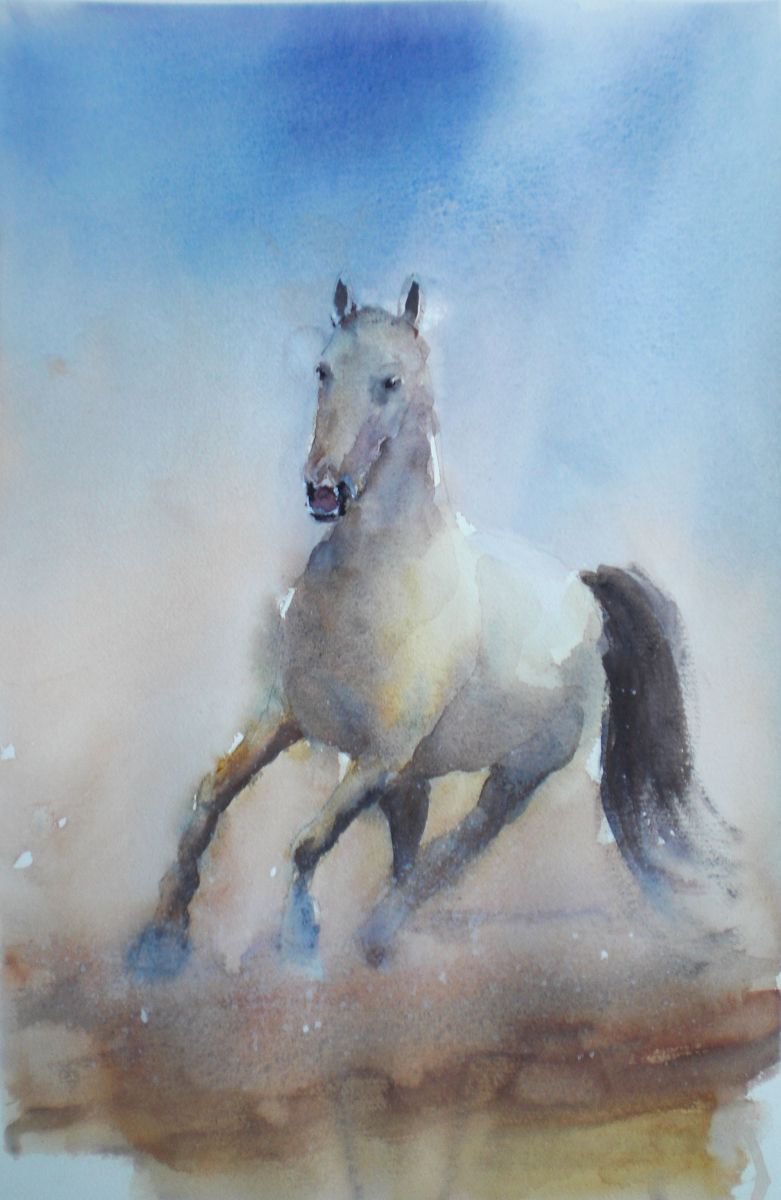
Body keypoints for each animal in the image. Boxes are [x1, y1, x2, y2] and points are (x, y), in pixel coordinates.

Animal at [128, 277, 706, 978]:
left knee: (461, 845)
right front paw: (161, 939)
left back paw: (381, 930)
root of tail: (585, 591)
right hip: (417, 776)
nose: (325, 490)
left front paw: (299, 943)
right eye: (323, 370)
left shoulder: (379, 758)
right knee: (411, 846)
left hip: (519, 771)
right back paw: (379, 942)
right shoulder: (285, 717)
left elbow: (306, 842)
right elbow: (209, 800)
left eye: (392, 381)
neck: (372, 585)